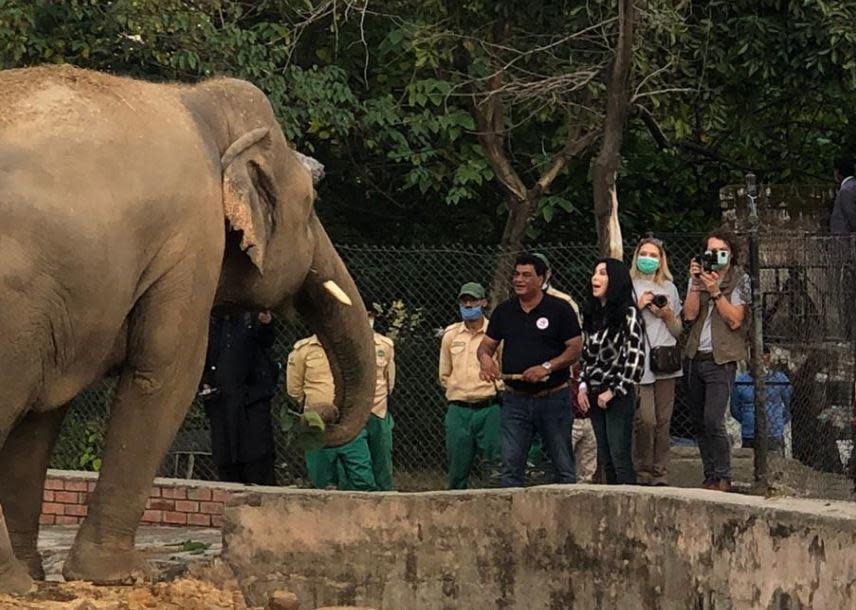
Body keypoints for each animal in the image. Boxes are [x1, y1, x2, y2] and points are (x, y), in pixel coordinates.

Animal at [0, 65, 374, 588]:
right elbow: (168, 373)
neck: (198, 103)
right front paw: (124, 576)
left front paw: (38, 578)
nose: (317, 417)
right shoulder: (192, 240)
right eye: (312, 203)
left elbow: (44, 413)